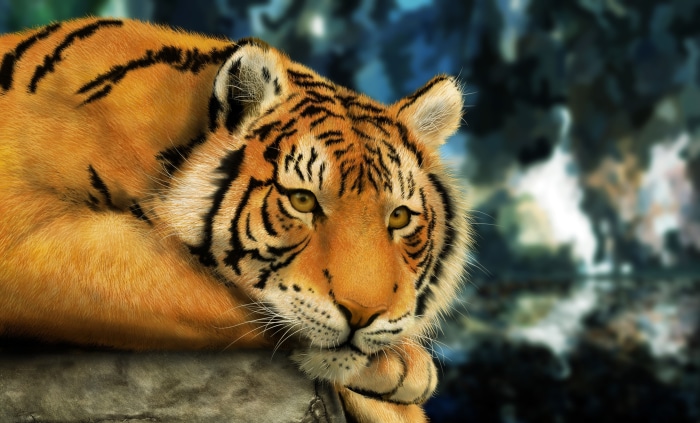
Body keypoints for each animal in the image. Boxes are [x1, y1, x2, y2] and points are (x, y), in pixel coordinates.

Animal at [0, 17, 471, 422]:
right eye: (302, 201)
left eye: (399, 217)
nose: (364, 314)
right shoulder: (28, 233)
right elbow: (221, 297)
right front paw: (403, 370)